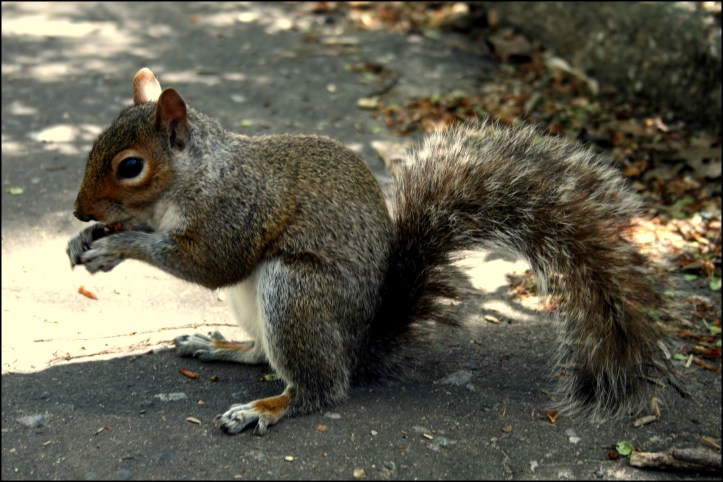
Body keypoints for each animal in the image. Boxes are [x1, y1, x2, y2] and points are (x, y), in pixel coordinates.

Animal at [67, 68, 669, 435]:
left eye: (130, 166)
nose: (77, 211)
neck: (193, 177)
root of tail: (360, 346)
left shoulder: (238, 210)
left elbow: (209, 262)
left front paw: (118, 244)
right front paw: (87, 240)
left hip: (295, 292)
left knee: (322, 388)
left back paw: (265, 407)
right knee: (263, 355)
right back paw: (218, 345)